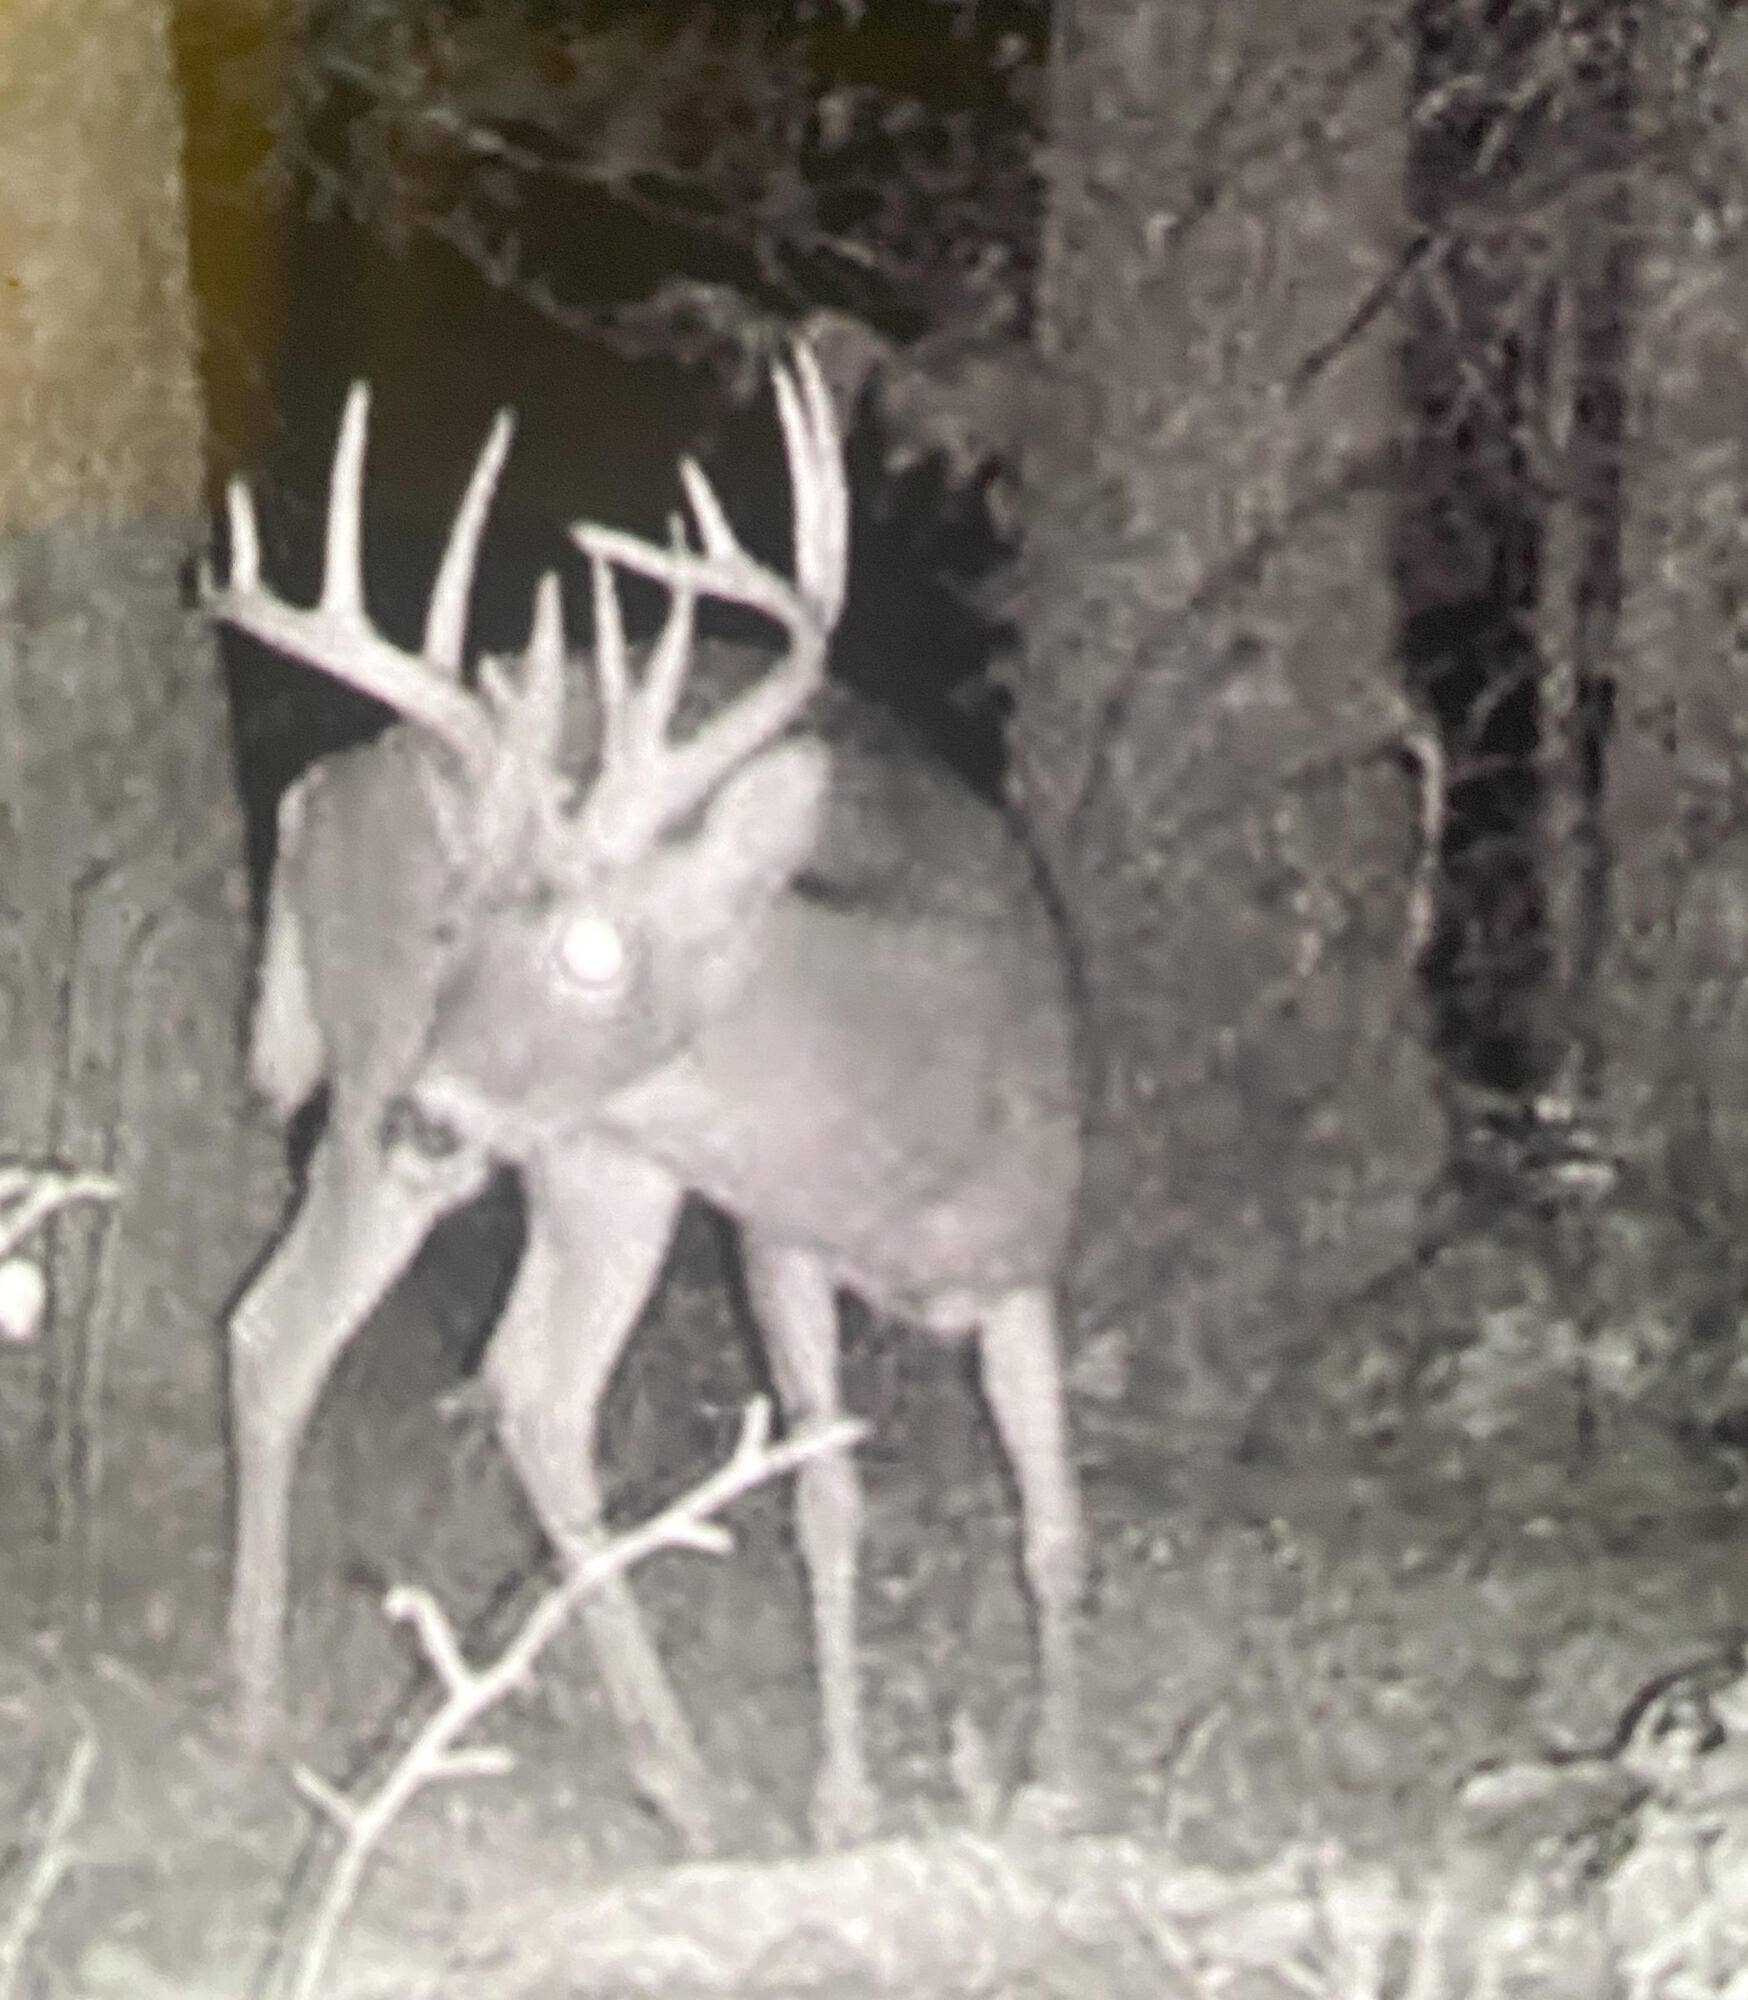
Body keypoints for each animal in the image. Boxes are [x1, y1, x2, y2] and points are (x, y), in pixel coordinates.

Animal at [204, 347, 1085, 1852]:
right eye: (459, 925)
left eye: (591, 948)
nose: (429, 1114)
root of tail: (320, 787)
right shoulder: (773, 1235)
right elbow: (828, 1496)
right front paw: (845, 1798)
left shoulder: (1031, 1253)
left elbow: (1051, 1514)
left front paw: (1060, 1776)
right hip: (519, 1136)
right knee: (332, 1340)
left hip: (584, 1161)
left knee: (483, 1374)